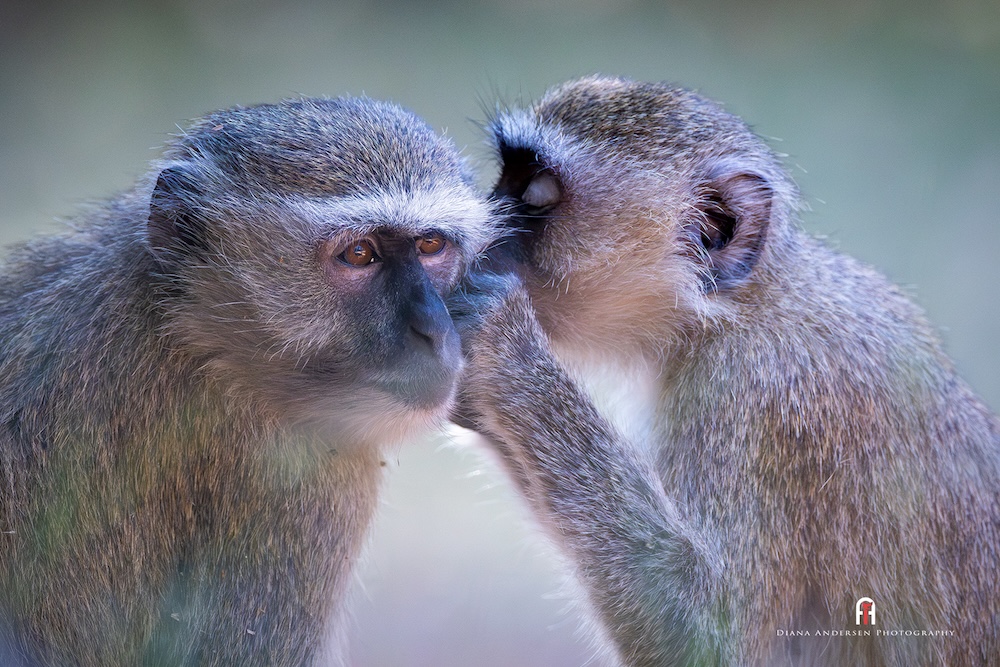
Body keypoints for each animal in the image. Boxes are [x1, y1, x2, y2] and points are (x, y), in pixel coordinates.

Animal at [449, 76, 1000, 666]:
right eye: (506, 178)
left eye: (536, 195)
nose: (476, 231)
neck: (746, 306)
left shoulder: (757, 401)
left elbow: (711, 635)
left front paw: (504, 345)